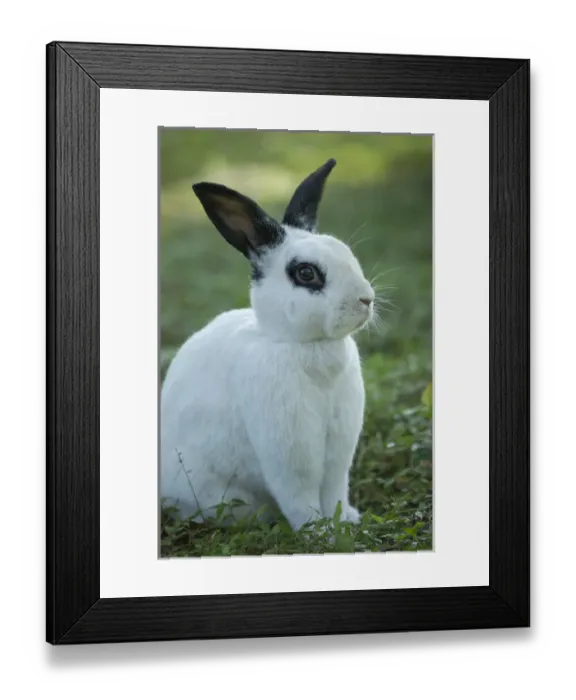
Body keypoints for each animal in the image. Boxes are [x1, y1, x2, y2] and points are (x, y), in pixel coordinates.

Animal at [160, 158, 375, 531]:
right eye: (306, 273)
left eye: (346, 253)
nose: (366, 299)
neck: (304, 344)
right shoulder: (289, 451)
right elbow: (300, 496)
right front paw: (320, 533)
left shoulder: (338, 450)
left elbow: (334, 489)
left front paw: (344, 521)